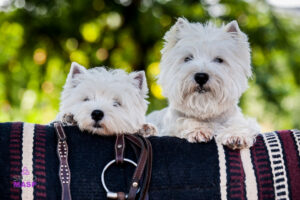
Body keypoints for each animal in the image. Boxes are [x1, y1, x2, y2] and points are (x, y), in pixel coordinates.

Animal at [148, 18, 260, 148]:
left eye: (219, 60)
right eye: (187, 58)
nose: (201, 77)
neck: (205, 112)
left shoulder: (240, 119)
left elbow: (239, 123)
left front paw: (236, 135)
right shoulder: (172, 124)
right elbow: (184, 121)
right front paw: (199, 130)